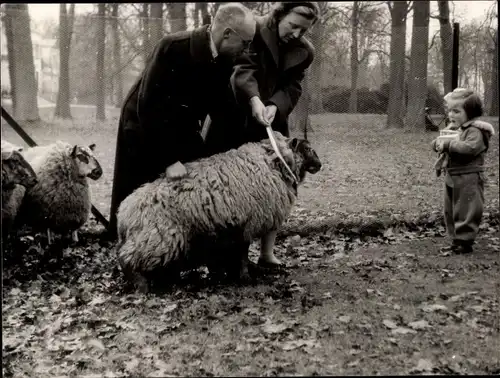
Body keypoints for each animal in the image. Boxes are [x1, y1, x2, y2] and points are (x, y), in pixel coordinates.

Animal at [115, 133, 322, 292]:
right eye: (308, 149)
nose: (320, 165)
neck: (275, 160)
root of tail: (123, 213)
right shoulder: (249, 221)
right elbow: (243, 253)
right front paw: (245, 277)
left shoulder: (239, 224)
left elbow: (240, 251)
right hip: (158, 237)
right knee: (127, 259)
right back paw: (142, 286)